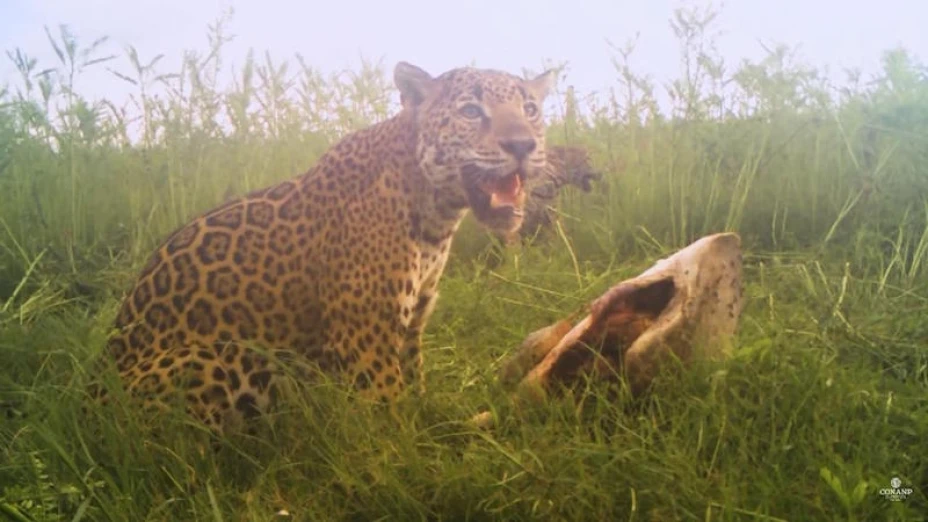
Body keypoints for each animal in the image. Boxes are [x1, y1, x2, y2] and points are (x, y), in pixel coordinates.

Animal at [87, 61, 556, 433]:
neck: (436, 216)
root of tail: (90, 397)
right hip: (221, 356)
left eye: (531, 110)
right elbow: (388, 421)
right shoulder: (368, 341)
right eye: (471, 111)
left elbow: (415, 391)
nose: (523, 145)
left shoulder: (411, 325)